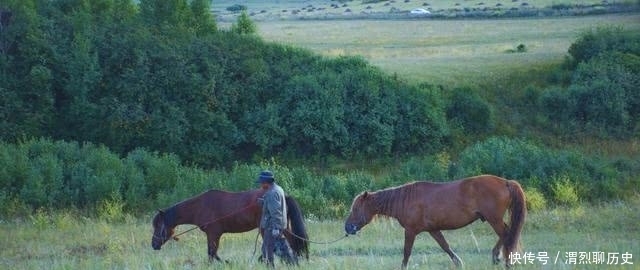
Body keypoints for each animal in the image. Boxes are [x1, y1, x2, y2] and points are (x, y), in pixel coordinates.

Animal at [151, 188, 308, 262]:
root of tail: (283, 195)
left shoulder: (213, 234)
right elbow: (213, 254)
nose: (154, 245)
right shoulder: (213, 235)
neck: (200, 206)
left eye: (158, 226)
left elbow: (212, 254)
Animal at [344, 175, 524, 268]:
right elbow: (445, 246)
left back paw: (504, 260)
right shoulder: (433, 230)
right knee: (506, 234)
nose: (347, 227)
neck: (405, 200)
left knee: (506, 235)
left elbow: (406, 252)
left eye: (356, 208)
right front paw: (458, 263)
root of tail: (506, 182)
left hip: (494, 219)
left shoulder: (410, 231)